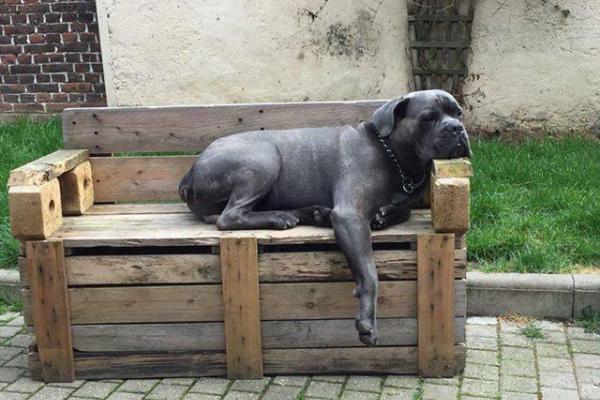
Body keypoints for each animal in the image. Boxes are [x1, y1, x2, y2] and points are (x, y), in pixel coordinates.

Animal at [180, 89, 472, 346]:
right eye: (428, 117)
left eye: (458, 113)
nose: (457, 128)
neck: (392, 154)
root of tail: (189, 174)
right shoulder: (349, 215)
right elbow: (370, 272)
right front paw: (367, 322)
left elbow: (404, 208)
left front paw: (385, 214)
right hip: (264, 157)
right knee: (229, 216)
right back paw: (280, 217)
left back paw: (309, 214)